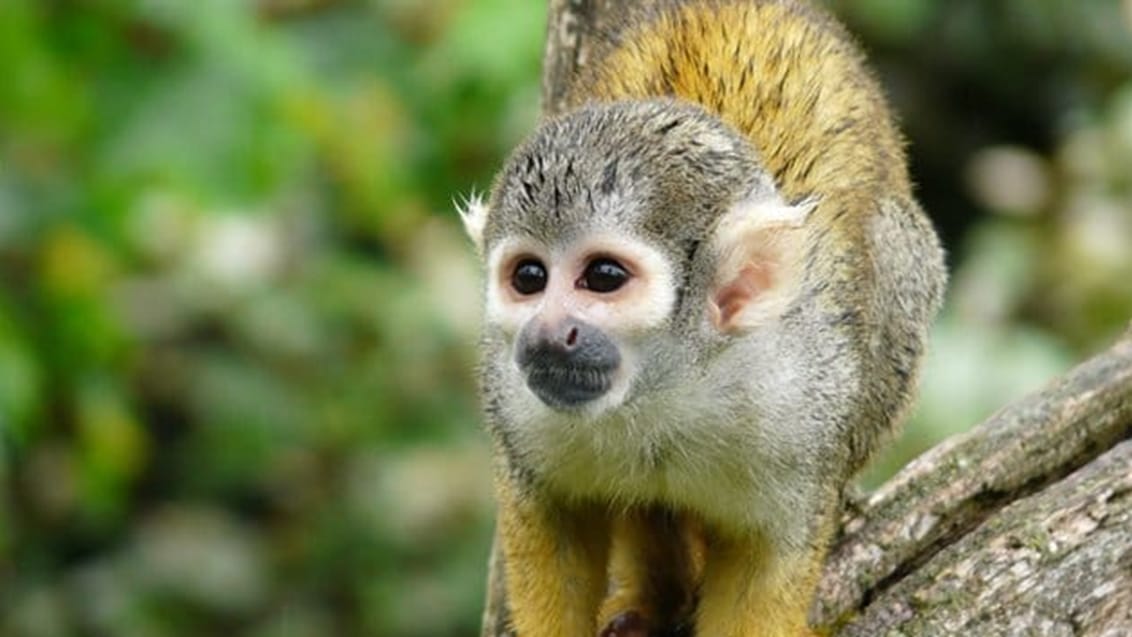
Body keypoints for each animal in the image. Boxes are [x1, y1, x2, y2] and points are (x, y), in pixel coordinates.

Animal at [459, 1, 946, 637]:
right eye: (529, 278)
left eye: (603, 277)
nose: (545, 333)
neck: (665, 387)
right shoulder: (515, 402)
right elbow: (549, 518)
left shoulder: (802, 408)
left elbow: (768, 559)